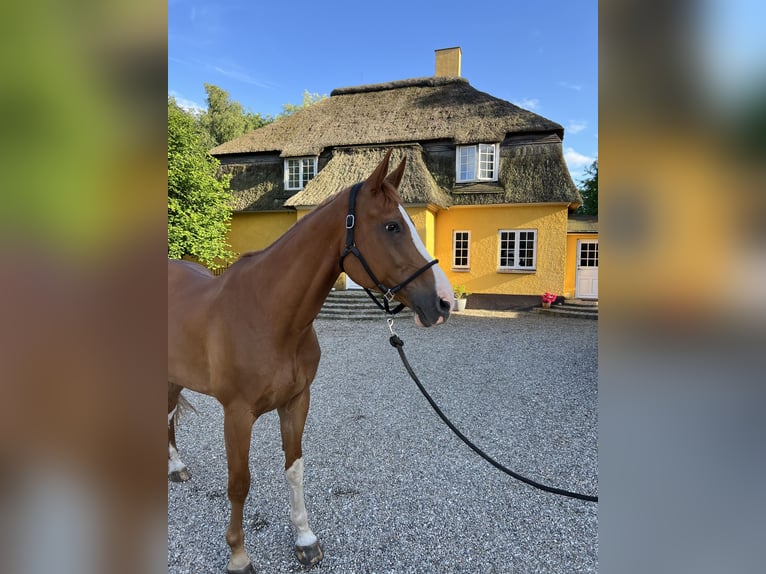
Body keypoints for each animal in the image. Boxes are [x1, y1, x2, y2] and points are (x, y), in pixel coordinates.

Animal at [168, 151, 452, 572]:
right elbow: (239, 482)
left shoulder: (296, 402)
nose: (444, 303)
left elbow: (294, 468)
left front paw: (304, 538)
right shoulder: (236, 414)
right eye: (392, 226)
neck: (270, 315)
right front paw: (238, 554)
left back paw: (176, 467)